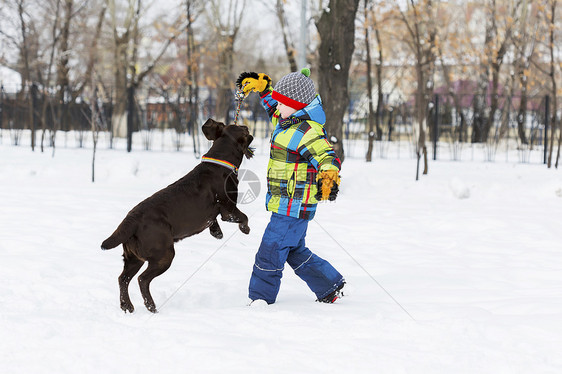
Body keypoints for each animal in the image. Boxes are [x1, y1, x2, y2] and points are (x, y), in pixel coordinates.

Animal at [101, 119, 254, 312]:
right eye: (244, 130)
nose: (247, 126)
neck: (221, 161)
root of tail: (130, 220)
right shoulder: (228, 208)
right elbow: (243, 216)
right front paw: (245, 229)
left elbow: (213, 221)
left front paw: (217, 232)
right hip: (164, 254)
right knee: (142, 279)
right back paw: (151, 306)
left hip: (134, 257)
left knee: (123, 279)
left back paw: (127, 306)